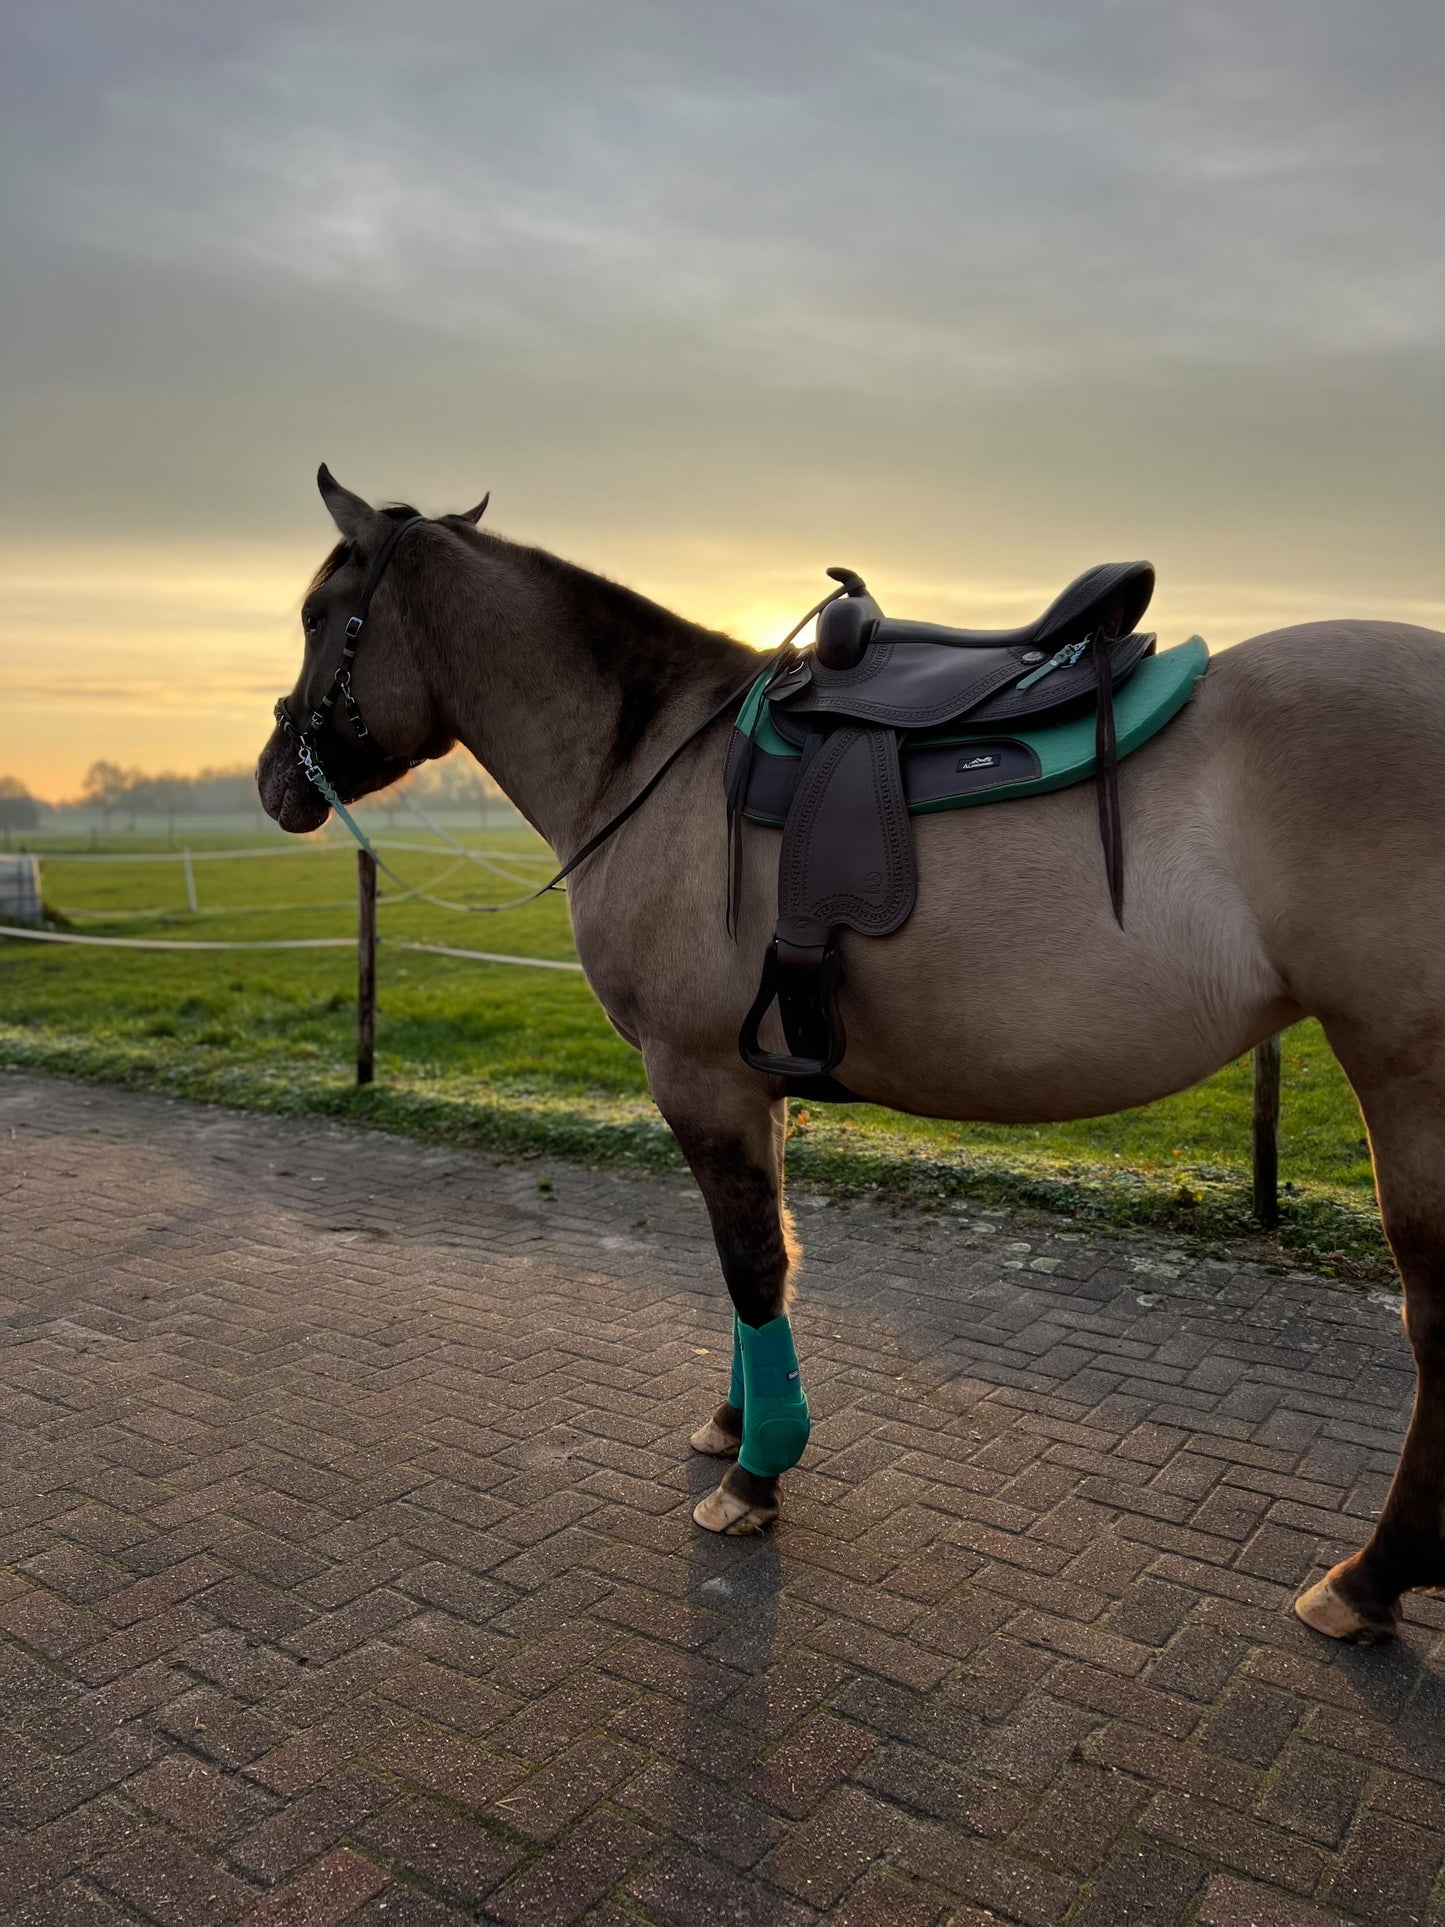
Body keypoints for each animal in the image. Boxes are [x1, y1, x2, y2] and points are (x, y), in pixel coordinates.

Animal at [258, 466, 1445, 1645]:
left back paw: (1371, 1577)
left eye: (318, 616)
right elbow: (764, 1260)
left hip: (1406, 1077)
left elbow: (748, 1262)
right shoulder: (754, 1083)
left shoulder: (699, 1076)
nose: (274, 778)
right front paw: (735, 1423)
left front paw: (756, 1474)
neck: (653, 757)